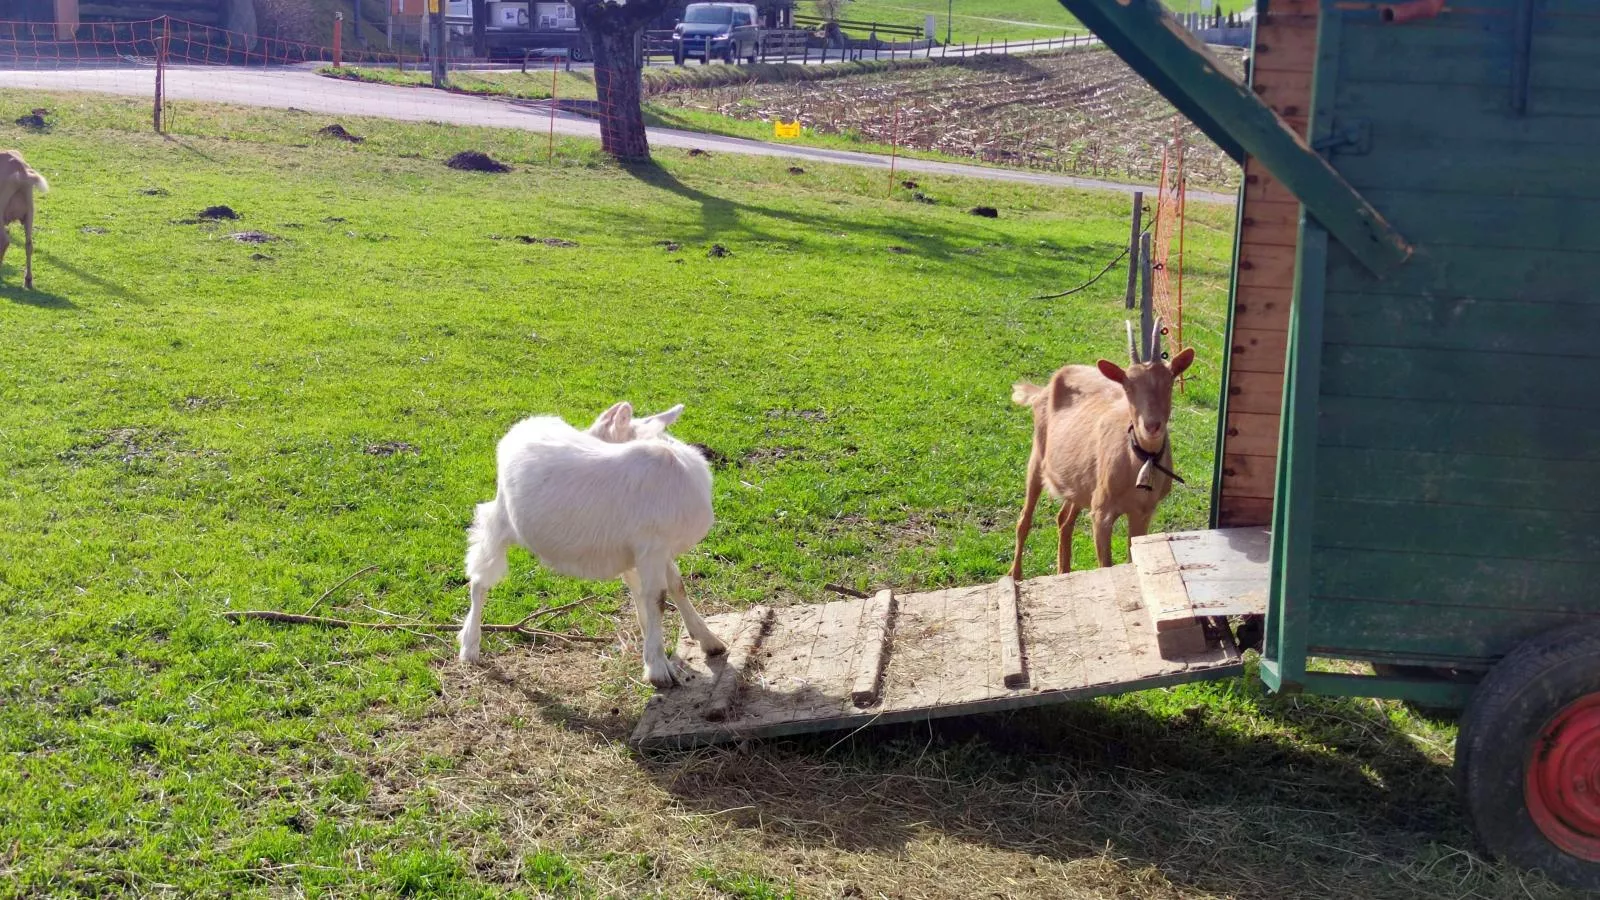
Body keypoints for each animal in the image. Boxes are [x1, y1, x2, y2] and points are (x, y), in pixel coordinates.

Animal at [460, 395, 729, 682]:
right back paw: (469, 646)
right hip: (499, 518)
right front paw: (658, 668)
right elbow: (657, 598)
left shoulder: (656, 551)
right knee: (480, 578)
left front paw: (709, 642)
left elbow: (676, 586)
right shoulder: (652, 547)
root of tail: (524, 426)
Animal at [1004, 321, 1196, 573]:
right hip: (1037, 458)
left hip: (1078, 480)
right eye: (1127, 386)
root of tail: (1044, 389)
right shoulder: (1101, 513)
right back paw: (1015, 575)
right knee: (1024, 519)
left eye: (1169, 381)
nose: (1151, 425)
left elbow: (1132, 558)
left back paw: (1063, 571)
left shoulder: (1143, 512)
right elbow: (1106, 565)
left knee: (1064, 520)